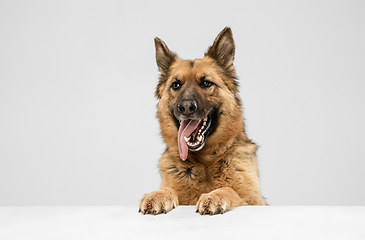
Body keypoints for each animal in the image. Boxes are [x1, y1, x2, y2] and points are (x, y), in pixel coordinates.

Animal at [139, 27, 264, 215]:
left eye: (206, 83)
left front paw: (215, 195)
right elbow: (168, 189)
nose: (186, 107)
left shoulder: (255, 201)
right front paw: (157, 195)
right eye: (176, 85)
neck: (204, 162)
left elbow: (231, 190)